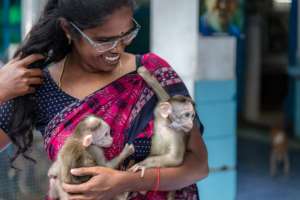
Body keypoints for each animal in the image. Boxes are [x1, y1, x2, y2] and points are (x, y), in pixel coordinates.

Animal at [130, 67, 196, 198]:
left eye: (192, 116)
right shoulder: (158, 109)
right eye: (187, 115)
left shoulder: (178, 134)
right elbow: (163, 96)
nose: (191, 123)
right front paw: (144, 73)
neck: (166, 123)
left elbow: (175, 158)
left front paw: (143, 164)